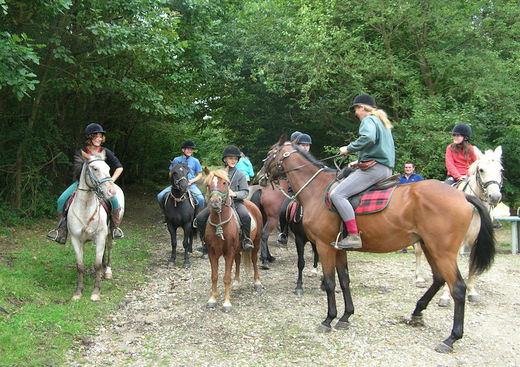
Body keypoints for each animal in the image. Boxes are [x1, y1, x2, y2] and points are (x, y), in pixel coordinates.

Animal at [68, 150, 124, 302]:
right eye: (94, 168)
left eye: (108, 168)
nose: (111, 192)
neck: (85, 208)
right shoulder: (75, 239)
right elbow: (80, 265)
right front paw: (78, 292)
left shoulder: (99, 237)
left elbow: (97, 265)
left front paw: (96, 291)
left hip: (110, 233)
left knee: (109, 248)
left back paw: (107, 271)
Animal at [202, 170, 262, 314]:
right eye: (208, 185)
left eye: (224, 183)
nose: (215, 201)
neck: (220, 224)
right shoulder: (212, 253)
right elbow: (214, 276)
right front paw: (212, 299)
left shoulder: (228, 253)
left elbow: (226, 278)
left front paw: (226, 303)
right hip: (237, 248)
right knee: (238, 260)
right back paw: (237, 282)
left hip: (256, 243)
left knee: (254, 260)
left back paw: (257, 282)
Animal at [414, 147, 500, 308]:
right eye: (481, 170)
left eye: (500, 170)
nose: (495, 196)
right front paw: (445, 296)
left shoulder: (476, 241)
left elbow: (472, 265)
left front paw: (472, 292)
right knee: (418, 252)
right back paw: (419, 278)